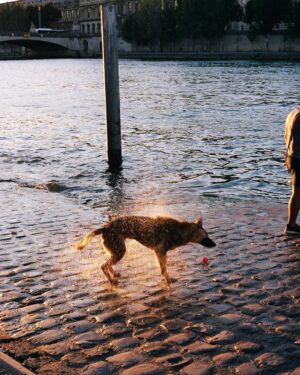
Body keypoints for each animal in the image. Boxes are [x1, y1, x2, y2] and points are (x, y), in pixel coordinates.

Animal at [76, 217, 214, 284]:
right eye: (206, 237)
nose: (215, 244)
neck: (180, 231)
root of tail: (105, 228)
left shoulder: (161, 254)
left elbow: (163, 267)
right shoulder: (159, 251)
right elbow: (164, 269)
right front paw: (168, 280)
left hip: (115, 252)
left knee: (108, 264)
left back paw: (114, 274)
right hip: (119, 252)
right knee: (103, 265)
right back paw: (111, 280)